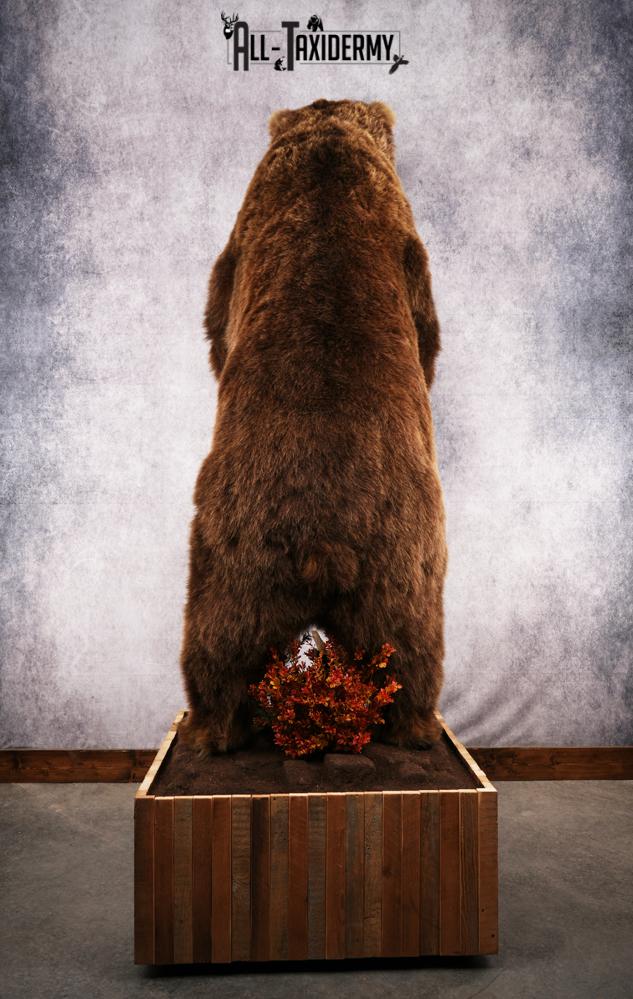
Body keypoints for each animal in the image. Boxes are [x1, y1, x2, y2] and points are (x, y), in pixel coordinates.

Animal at [179, 98, 447, 755]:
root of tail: (327, 539)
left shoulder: (249, 227)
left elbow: (218, 306)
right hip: (396, 570)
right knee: (411, 651)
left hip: (236, 550)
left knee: (215, 646)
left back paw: (207, 729)